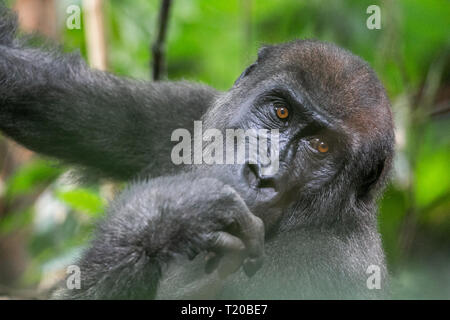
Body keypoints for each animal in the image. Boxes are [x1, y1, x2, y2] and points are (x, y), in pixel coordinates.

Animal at [0, 1, 394, 300]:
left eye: (321, 146)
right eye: (281, 111)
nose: (262, 174)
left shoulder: (322, 269)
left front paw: (163, 219)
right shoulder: (190, 111)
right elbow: (33, 85)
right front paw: (174, 217)